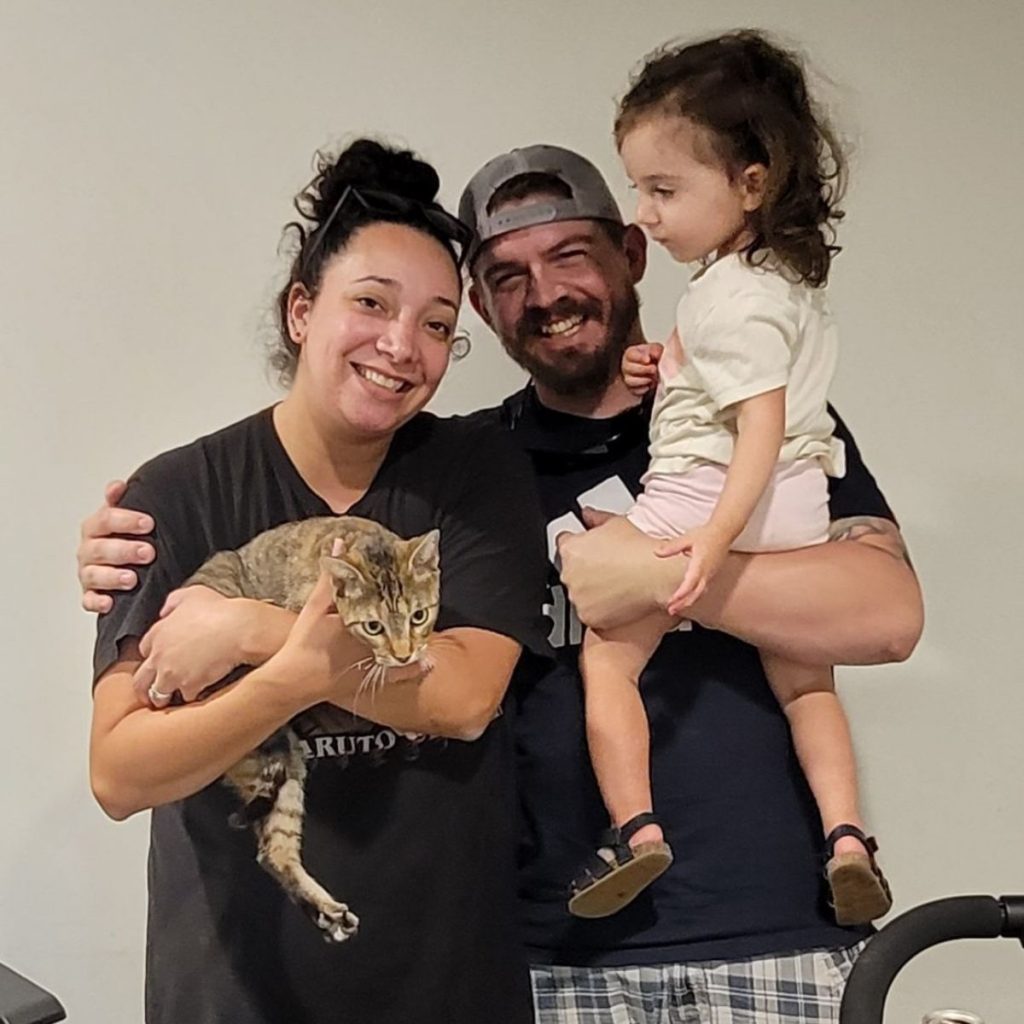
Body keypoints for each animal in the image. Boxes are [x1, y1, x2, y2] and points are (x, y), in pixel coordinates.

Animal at [185, 520, 440, 942]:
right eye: (373, 626)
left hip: (283, 767)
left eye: (419, 616)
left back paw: (328, 913)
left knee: (273, 851)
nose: (404, 654)